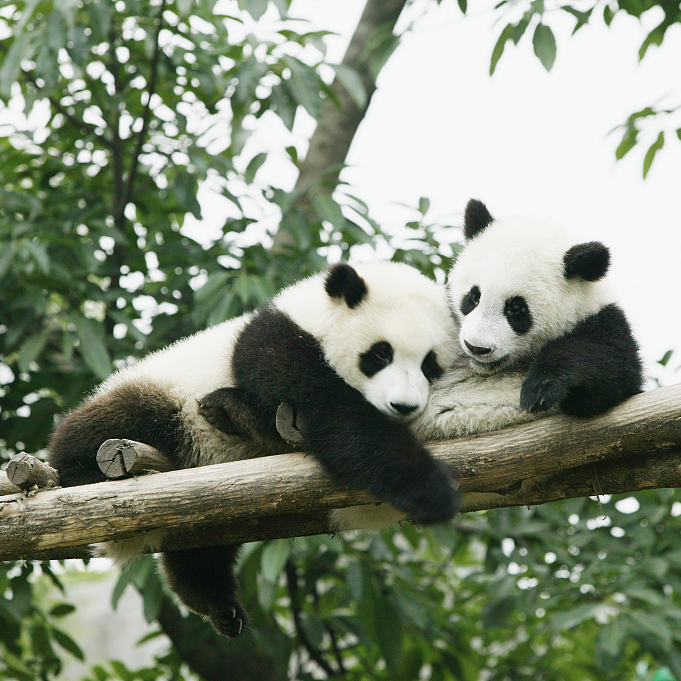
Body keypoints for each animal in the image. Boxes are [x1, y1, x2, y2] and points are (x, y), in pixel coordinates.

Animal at [48, 261, 461, 638]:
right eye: (380, 355)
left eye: (430, 365)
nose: (403, 406)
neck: (313, 318)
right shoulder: (277, 347)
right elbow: (338, 418)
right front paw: (433, 490)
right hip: (162, 400)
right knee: (107, 426)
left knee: (202, 549)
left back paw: (215, 601)